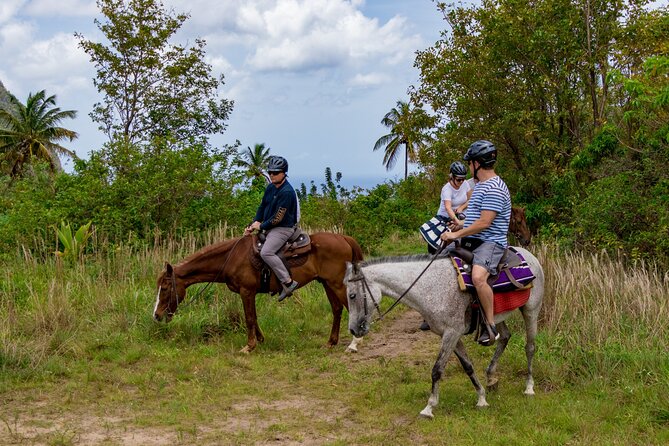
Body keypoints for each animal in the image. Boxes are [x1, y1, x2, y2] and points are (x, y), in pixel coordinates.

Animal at [153, 233, 362, 352]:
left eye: (165, 288)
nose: (156, 315)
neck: (231, 258)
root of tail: (344, 238)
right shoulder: (248, 293)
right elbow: (253, 316)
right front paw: (260, 340)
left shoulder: (246, 291)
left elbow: (249, 318)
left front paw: (249, 346)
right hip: (327, 283)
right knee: (336, 309)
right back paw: (331, 342)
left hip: (337, 283)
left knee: (351, 308)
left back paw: (354, 342)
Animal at [344, 249, 544, 420]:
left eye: (352, 295)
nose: (353, 330)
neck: (430, 287)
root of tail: (529, 255)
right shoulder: (449, 335)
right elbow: (467, 365)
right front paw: (481, 397)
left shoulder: (451, 333)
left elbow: (437, 370)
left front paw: (429, 407)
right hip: (496, 316)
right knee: (504, 337)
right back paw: (491, 378)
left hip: (531, 310)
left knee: (530, 347)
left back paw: (529, 387)